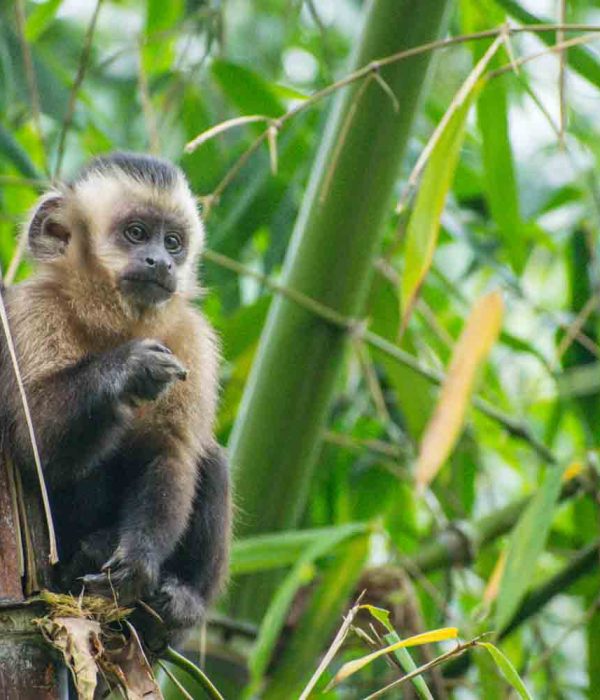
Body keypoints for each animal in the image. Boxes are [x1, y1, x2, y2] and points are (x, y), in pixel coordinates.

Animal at [0, 153, 230, 652]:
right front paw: (127, 368)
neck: (113, 322)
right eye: (137, 233)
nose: (160, 262)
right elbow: (35, 448)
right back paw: (87, 555)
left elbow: (171, 450)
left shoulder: (190, 337)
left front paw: (138, 558)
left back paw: (178, 605)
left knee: (210, 457)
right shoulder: (29, 313)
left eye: (173, 242)